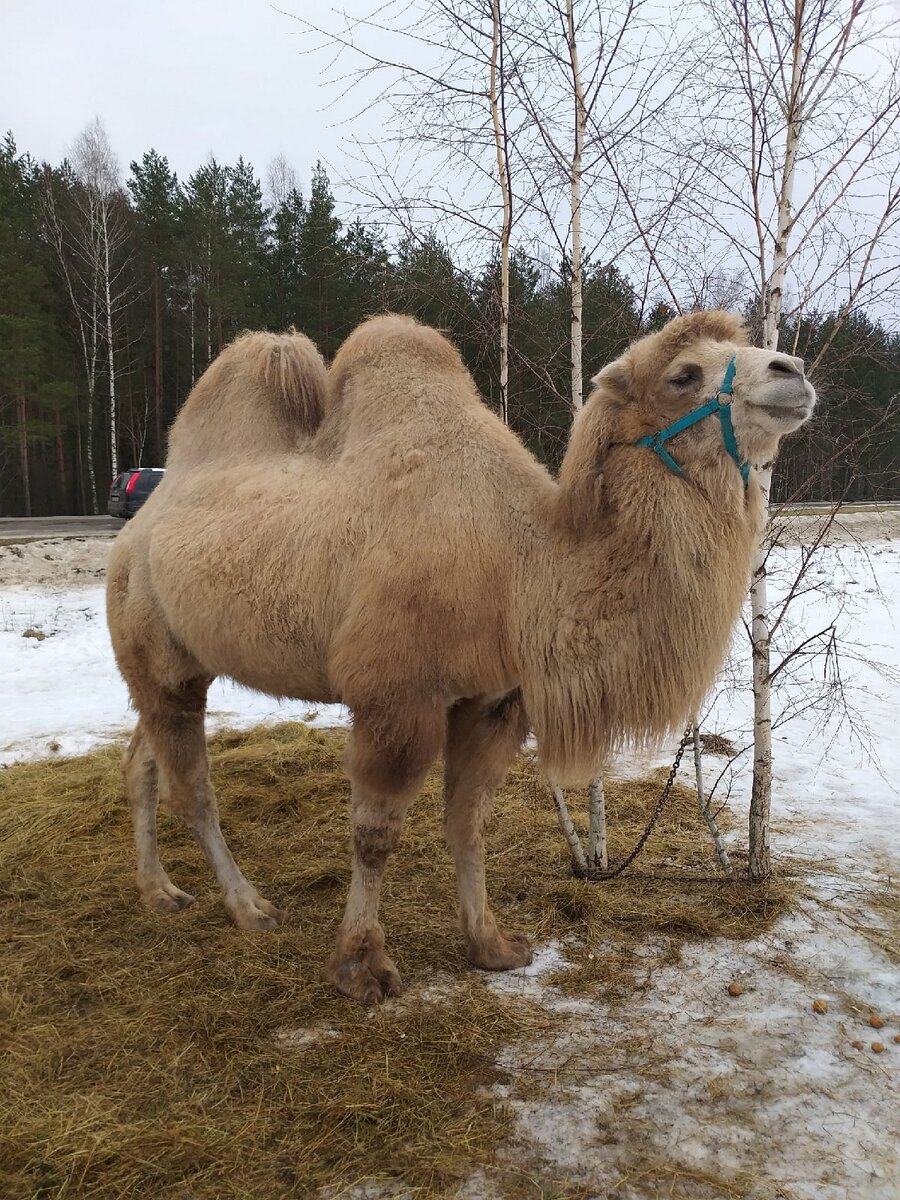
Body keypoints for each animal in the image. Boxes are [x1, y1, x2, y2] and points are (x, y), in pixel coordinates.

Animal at [107, 307, 816, 1003]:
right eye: (683, 375)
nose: (795, 372)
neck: (520, 569)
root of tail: (135, 528)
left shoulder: (495, 700)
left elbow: (469, 823)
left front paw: (491, 946)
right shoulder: (397, 698)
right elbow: (374, 835)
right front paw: (361, 967)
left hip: (177, 665)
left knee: (141, 758)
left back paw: (159, 891)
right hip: (156, 648)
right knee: (192, 788)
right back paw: (248, 907)